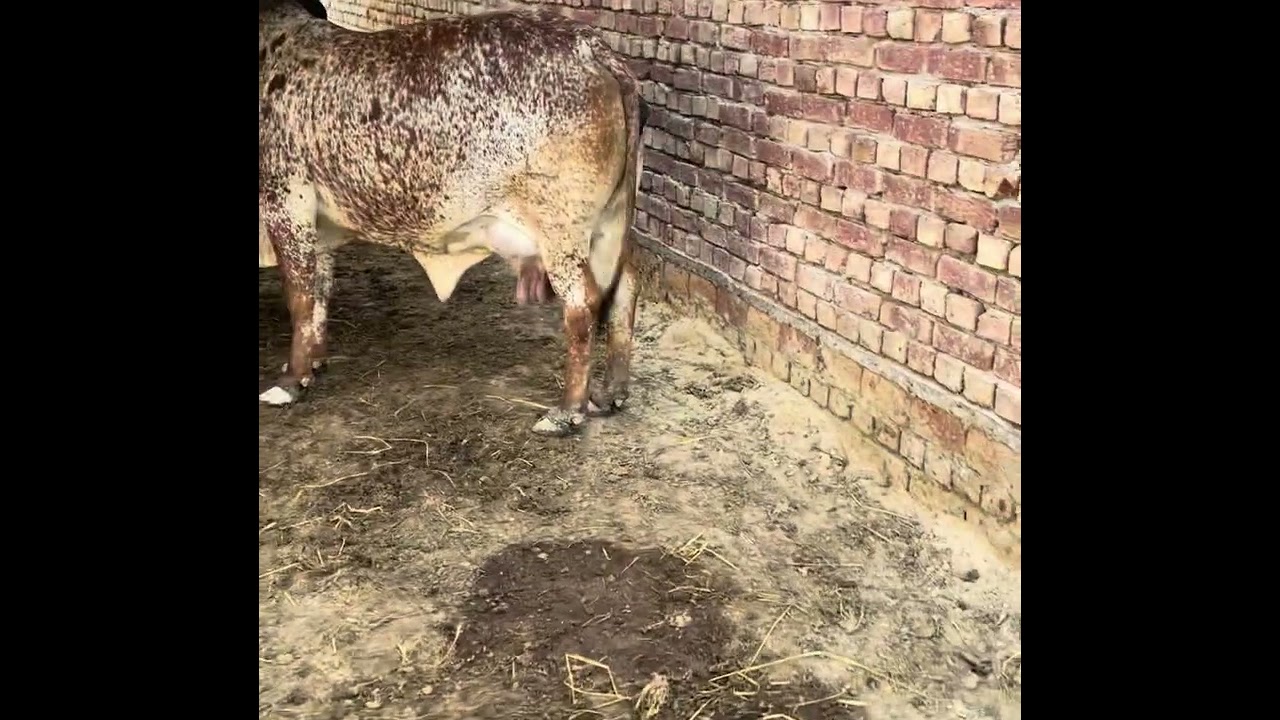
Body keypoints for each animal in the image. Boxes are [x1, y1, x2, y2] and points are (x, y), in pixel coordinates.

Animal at [258, 0, 645, 437]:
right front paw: (314, 363)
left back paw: (566, 411)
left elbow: (300, 297)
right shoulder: (319, 224)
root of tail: (592, 47)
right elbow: (320, 293)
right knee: (624, 289)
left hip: (561, 230)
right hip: (611, 224)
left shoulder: (285, 201)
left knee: (583, 302)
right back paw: (610, 392)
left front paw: (290, 382)